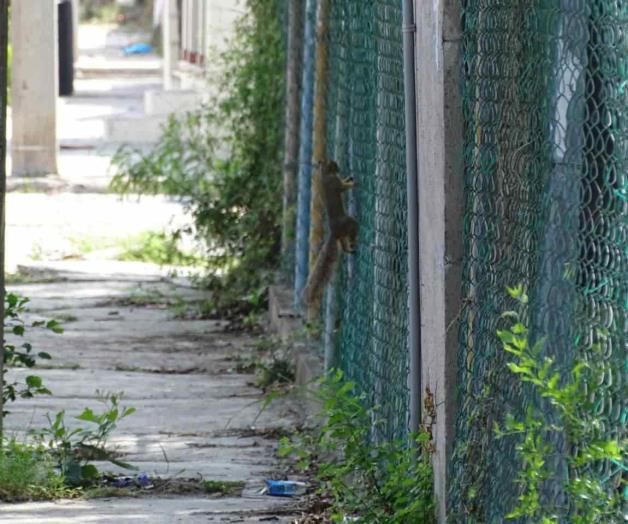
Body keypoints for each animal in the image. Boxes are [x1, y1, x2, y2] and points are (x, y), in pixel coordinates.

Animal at [302, 160, 358, 308]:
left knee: (343, 245)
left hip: (342, 235)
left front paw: (349, 178)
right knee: (352, 230)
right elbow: (343, 187)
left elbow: (343, 183)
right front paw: (353, 183)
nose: (338, 168)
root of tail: (333, 232)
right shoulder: (335, 183)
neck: (325, 174)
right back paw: (353, 243)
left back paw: (349, 249)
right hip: (348, 224)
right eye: (333, 164)